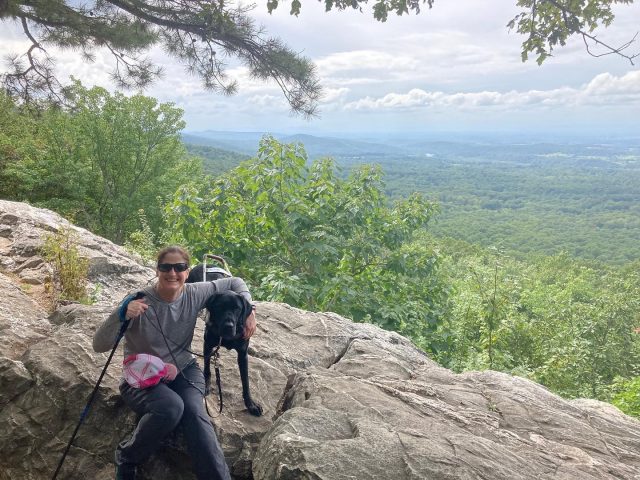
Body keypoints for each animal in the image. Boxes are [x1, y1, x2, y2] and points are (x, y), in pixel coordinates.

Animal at [188, 266, 262, 416]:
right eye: (219, 307)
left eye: (237, 309)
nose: (228, 326)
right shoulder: (208, 344)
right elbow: (207, 369)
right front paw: (206, 385)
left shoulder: (243, 354)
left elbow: (245, 381)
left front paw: (251, 405)